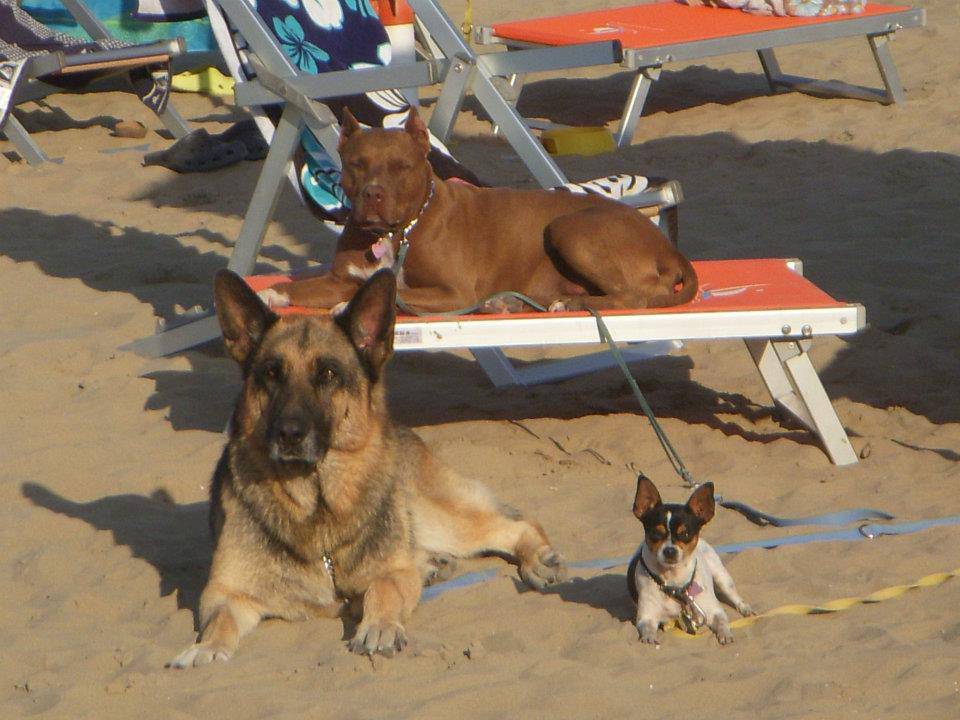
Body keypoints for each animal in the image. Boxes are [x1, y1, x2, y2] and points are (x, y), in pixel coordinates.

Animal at [169, 270, 568, 668]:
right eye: (271, 373)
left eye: (328, 374)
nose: (289, 434)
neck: (318, 508)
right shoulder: (224, 593)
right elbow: (218, 620)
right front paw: (206, 648)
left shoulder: (391, 574)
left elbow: (383, 590)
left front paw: (379, 626)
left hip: (438, 517)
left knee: (517, 526)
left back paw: (535, 560)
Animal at [258, 105, 696, 314]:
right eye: (356, 164)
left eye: (401, 166)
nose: (373, 194)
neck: (399, 231)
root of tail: (665, 245)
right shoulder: (339, 280)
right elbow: (295, 288)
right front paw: (269, 296)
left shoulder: (453, 292)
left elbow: (400, 295)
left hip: (569, 229)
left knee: (637, 295)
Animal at [632, 476, 756, 644]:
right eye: (655, 533)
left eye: (685, 534)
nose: (669, 550)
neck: (674, 583)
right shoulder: (646, 617)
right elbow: (647, 628)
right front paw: (649, 637)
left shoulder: (714, 611)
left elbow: (722, 621)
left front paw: (725, 633)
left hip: (721, 576)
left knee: (733, 594)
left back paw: (745, 608)